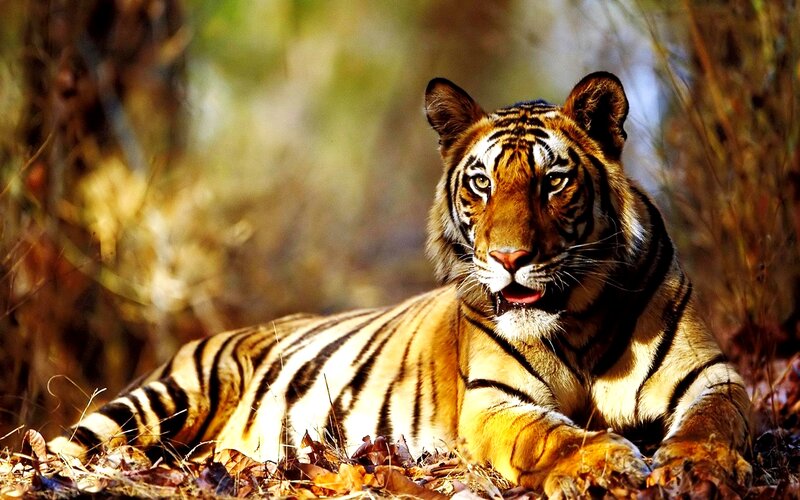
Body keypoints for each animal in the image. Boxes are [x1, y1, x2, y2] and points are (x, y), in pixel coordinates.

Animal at [47, 72, 751, 496]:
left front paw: (698, 466)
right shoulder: (495, 402)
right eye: (481, 183)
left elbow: (713, 421)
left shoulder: (712, 375)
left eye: (554, 181)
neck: (577, 318)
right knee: (64, 447)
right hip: (159, 401)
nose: (509, 257)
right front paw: (605, 461)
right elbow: (551, 432)